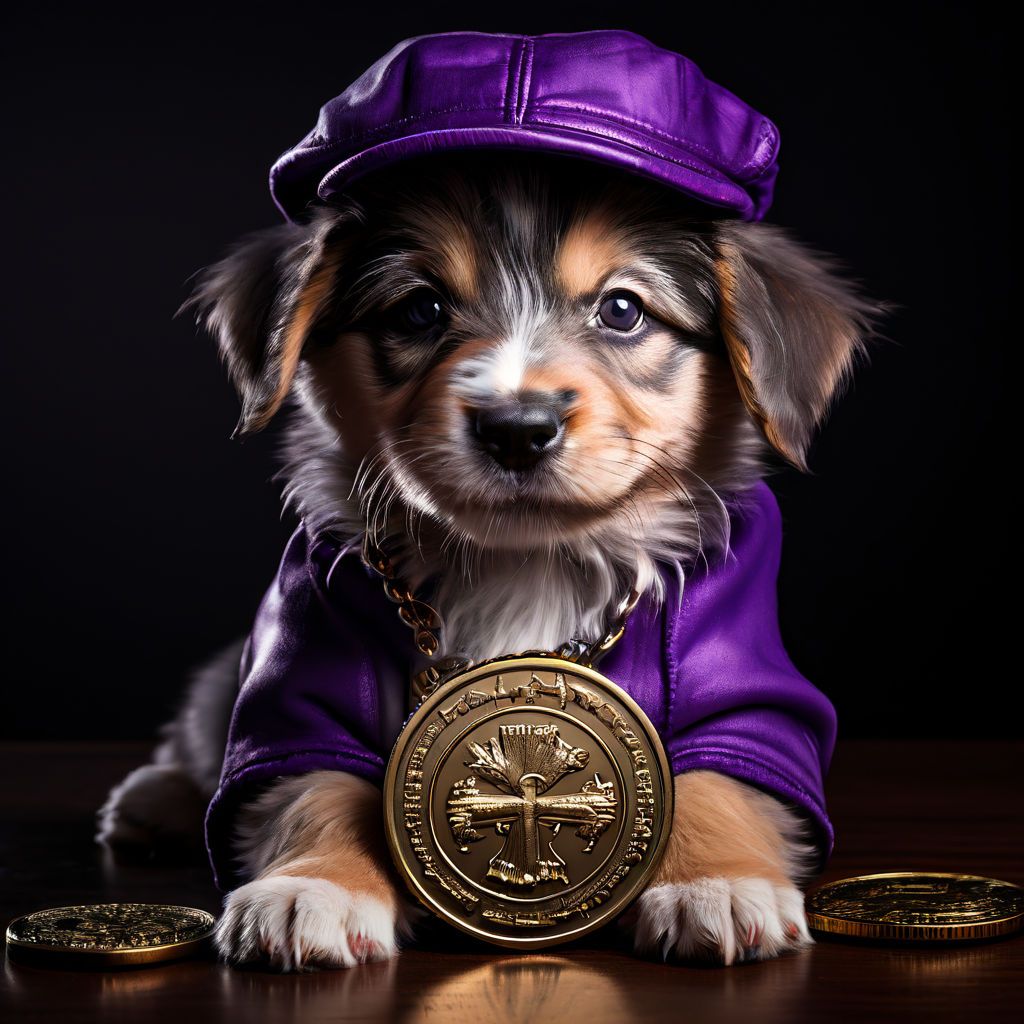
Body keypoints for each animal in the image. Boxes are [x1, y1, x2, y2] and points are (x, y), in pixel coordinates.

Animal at [97, 149, 888, 966]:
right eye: (419, 311)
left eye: (623, 310)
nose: (516, 427)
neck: (527, 561)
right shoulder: (305, 667)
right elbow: (317, 782)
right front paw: (311, 887)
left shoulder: (747, 688)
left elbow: (719, 774)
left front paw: (716, 881)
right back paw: (153, 802)